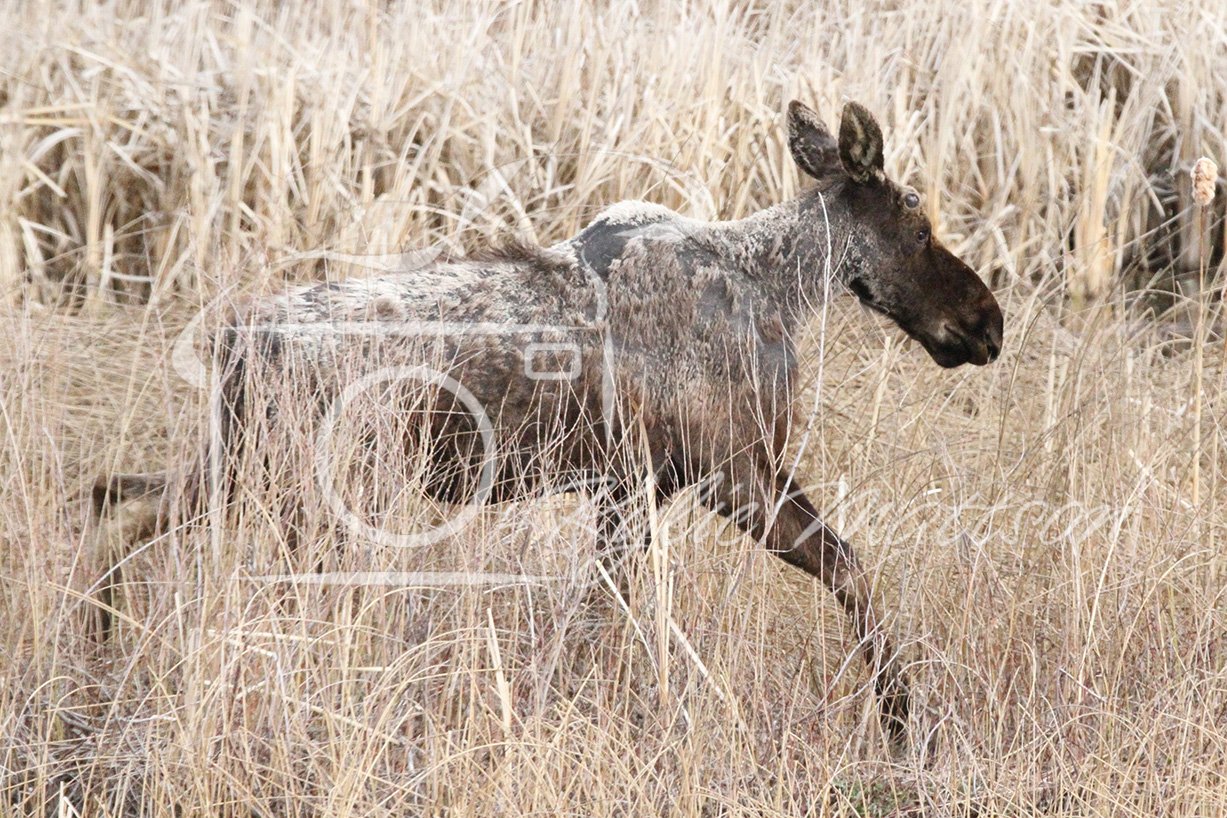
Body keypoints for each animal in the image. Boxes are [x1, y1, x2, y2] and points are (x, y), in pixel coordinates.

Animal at [93, 100, 1004, 749]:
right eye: (918, 225)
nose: (986, 322)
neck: (779, 290)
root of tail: (239, 339)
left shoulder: (640, 486)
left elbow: (598, 608)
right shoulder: (723, 472)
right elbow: (845, 568)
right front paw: (900, 722)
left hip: (244, 467)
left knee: (118, 507)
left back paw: (99, 649)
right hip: (312, 488)